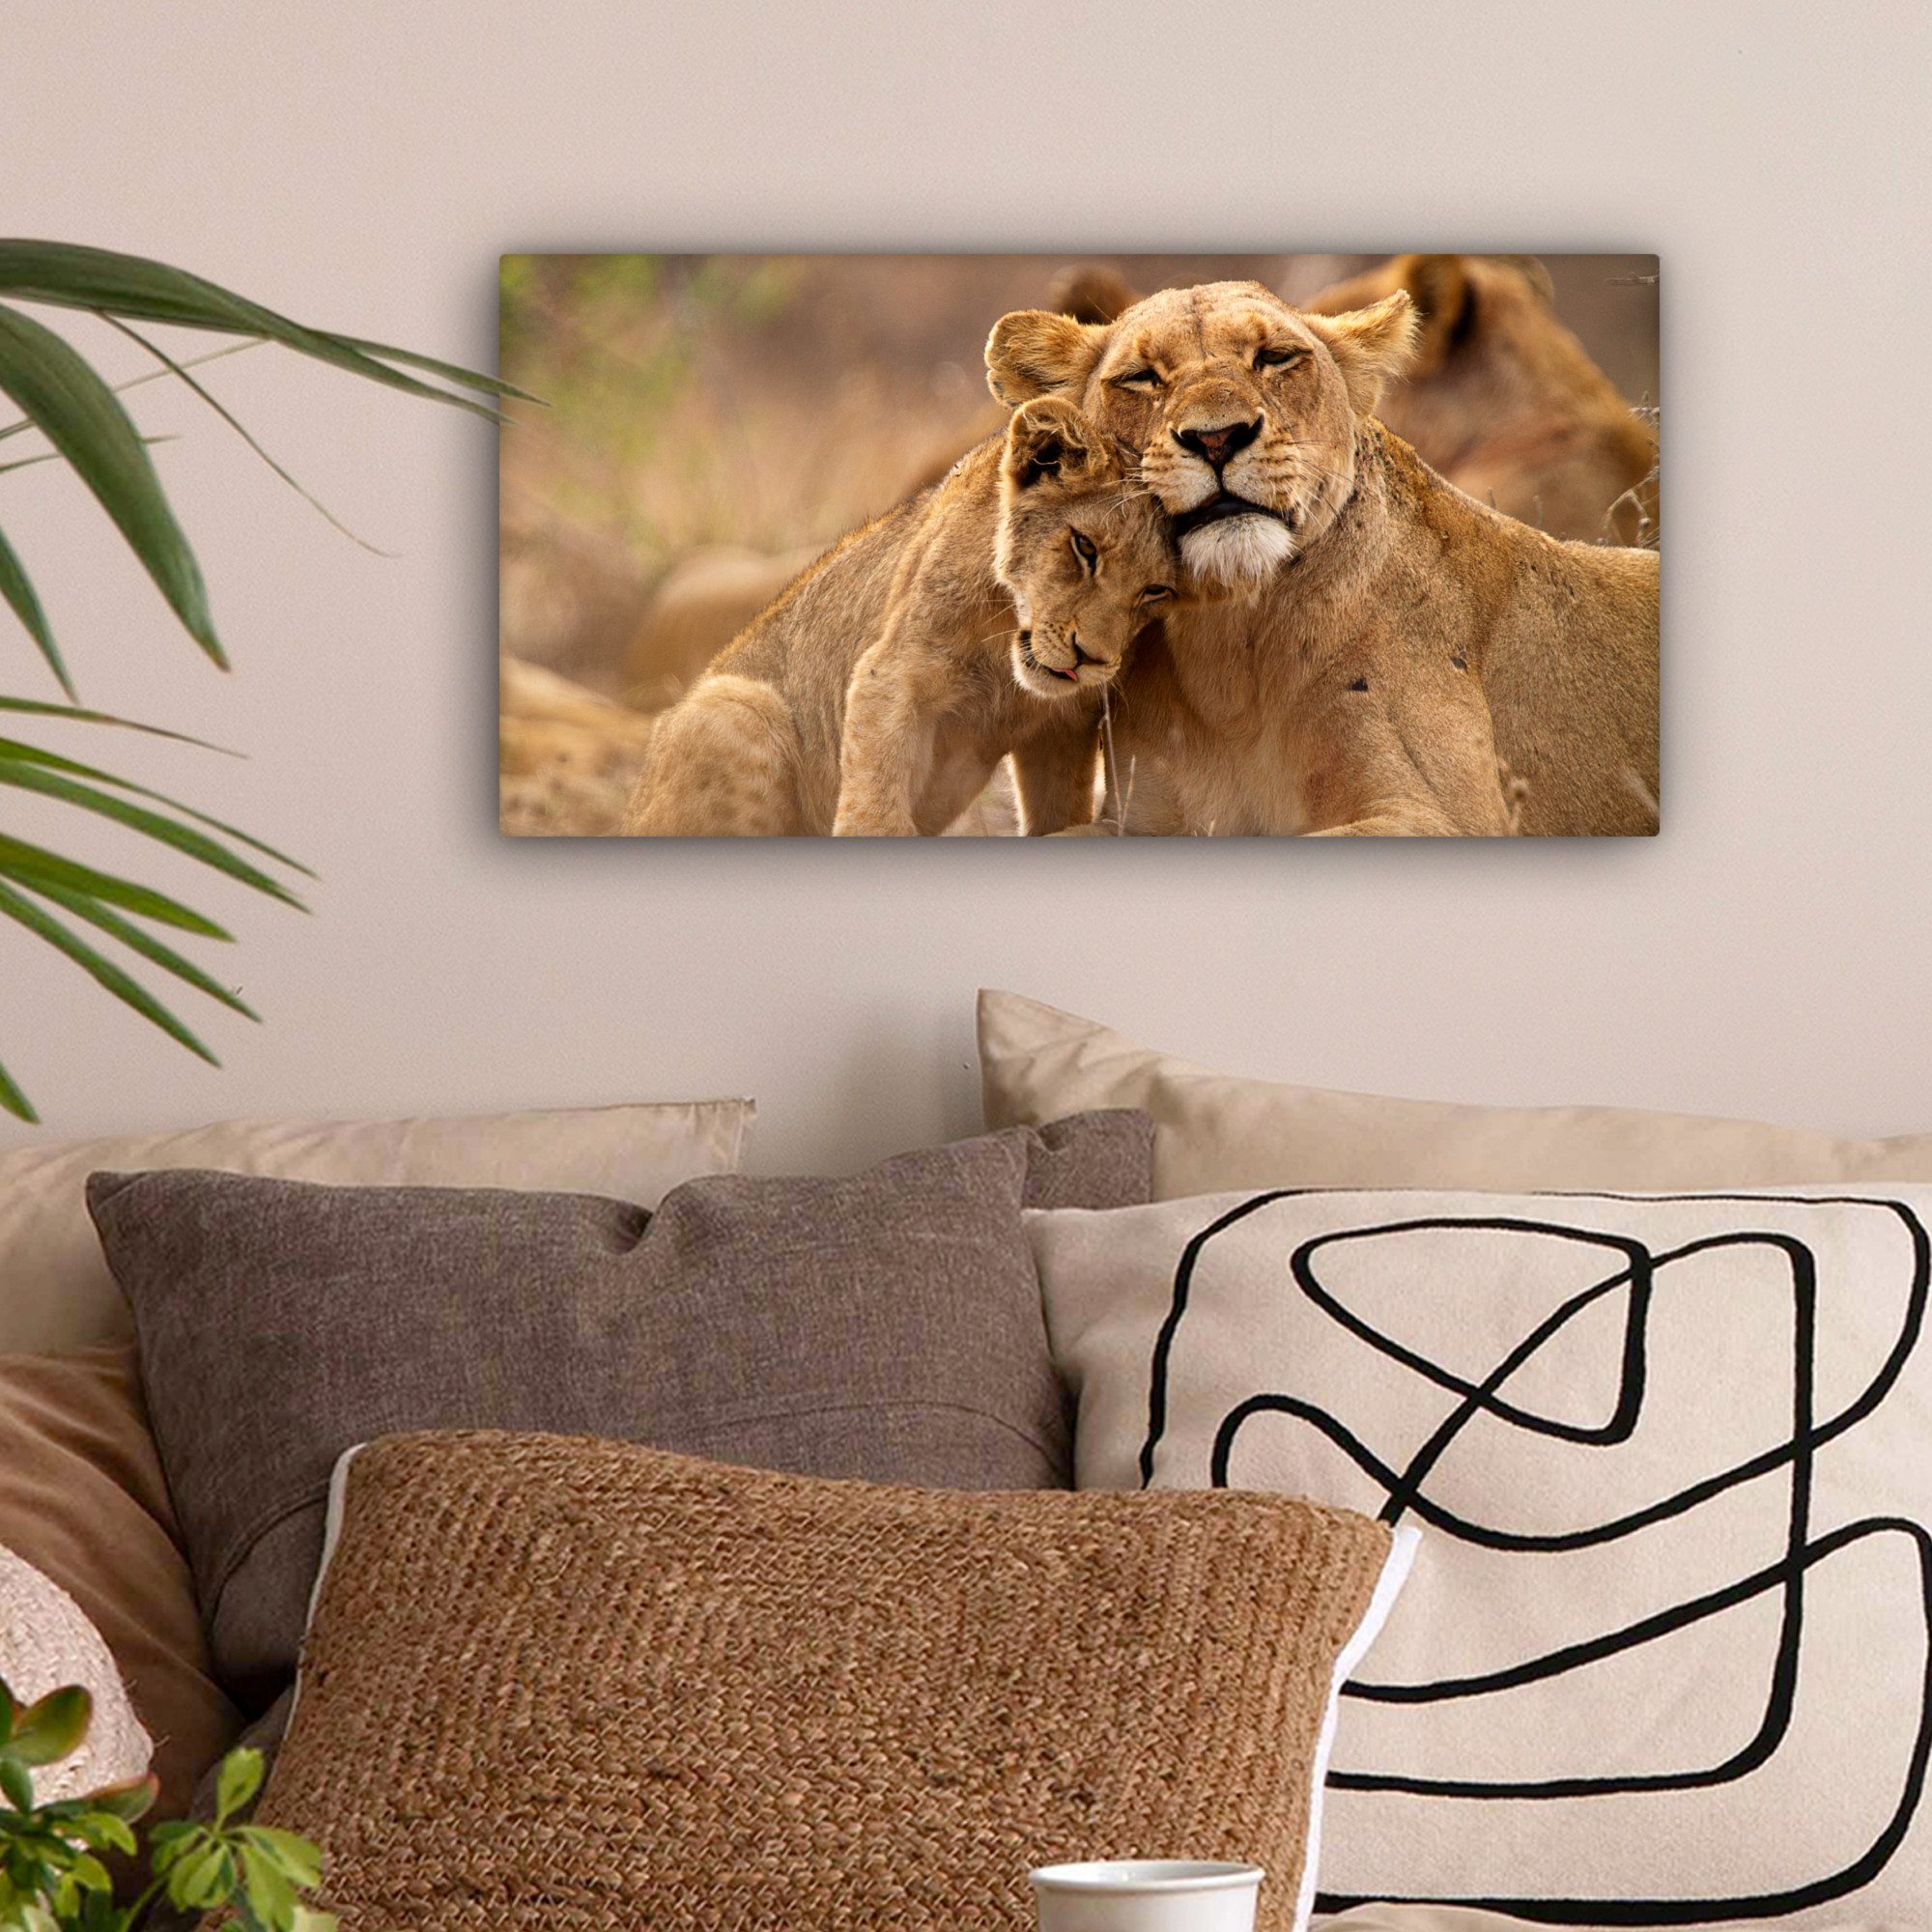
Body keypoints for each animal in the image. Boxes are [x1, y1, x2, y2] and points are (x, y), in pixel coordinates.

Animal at [620, 397, 1178, 836]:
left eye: (1157, 590)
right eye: (1085, 547)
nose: (1090, 659)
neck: (1006, 661)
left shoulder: (1062, 727)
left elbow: (1059, 815)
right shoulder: (890, 676)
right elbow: (877, 810)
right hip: (733, 706)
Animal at [985, 281, 1659, 837]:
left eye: (1275, 358)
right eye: (1142, 377)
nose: (1216, 437)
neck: (1228, 653)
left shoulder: (1443, 814)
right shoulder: (1139, 820)